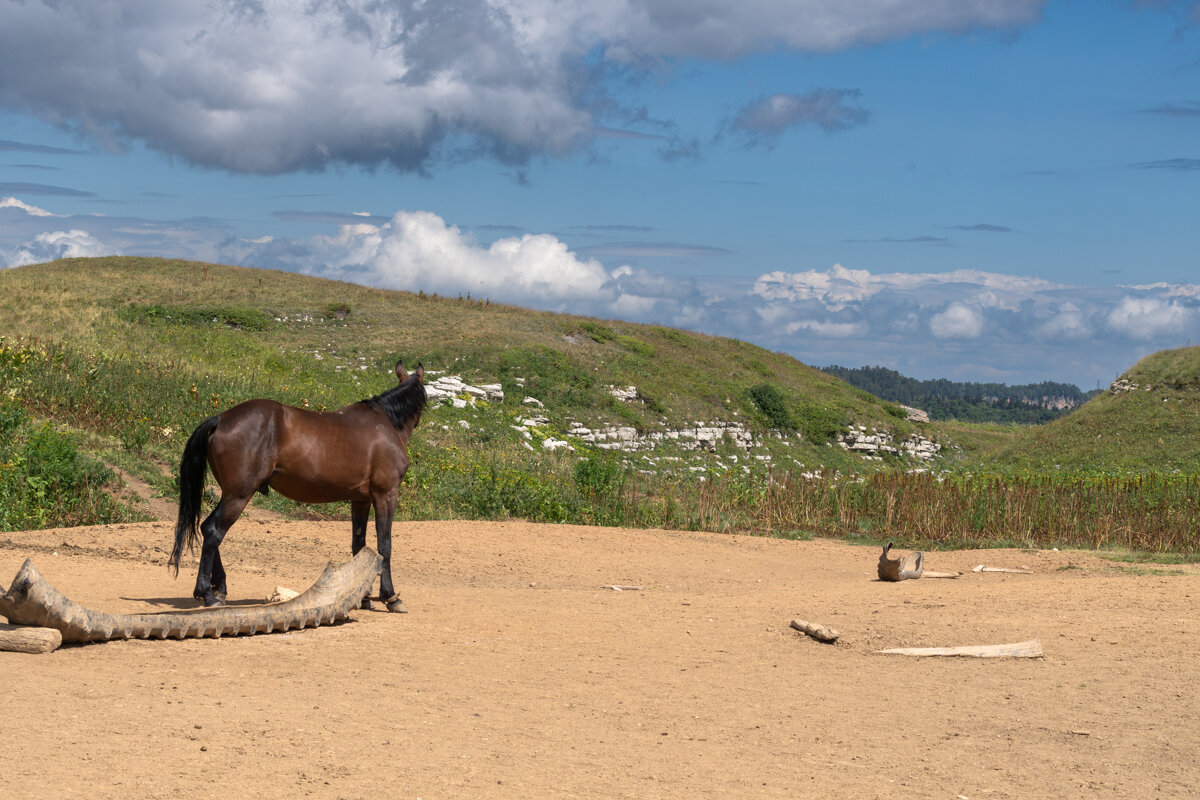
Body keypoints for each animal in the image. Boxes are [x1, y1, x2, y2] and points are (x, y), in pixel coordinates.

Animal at [170, 359, 427, 609]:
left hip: (230, 494)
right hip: (238, 495)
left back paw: (219, 589)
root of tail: (221, 419)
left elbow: (359, 545)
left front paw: (363, 598)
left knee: (207, 528)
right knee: (214, 532)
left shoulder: (360, 499)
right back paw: (208, 594)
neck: (387, 424)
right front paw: (390, 597)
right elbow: (385, 546)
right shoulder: (386, 494)